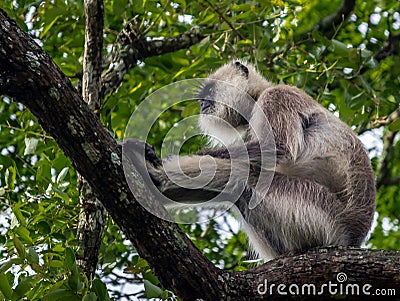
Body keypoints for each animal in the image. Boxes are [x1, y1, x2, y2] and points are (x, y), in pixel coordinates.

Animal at [123, 59, 376, 260]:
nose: (202, 105)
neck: (258, 97)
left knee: (242, 173)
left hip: (319, 212)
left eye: (210, 91)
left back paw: (155, 177)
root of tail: (352, 237)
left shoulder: (277, 97)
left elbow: (277, 148)